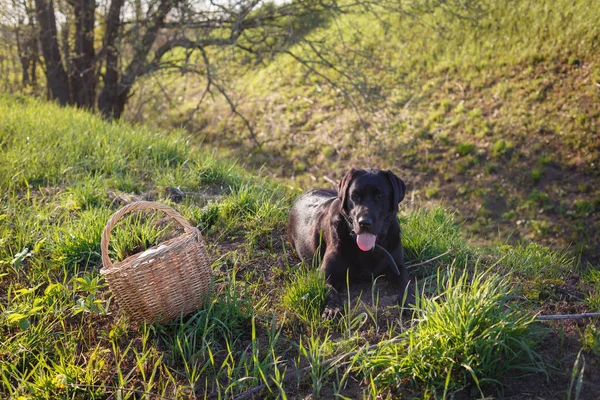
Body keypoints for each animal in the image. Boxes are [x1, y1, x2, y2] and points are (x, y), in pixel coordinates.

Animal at [288, 167, 414, 318]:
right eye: (355, 196)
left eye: (380, 196)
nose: (364, 223)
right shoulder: (323, 273)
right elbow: (330, 290)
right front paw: (333, 308)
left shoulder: (398, 266)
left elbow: (406, 283)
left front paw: (410, 301)